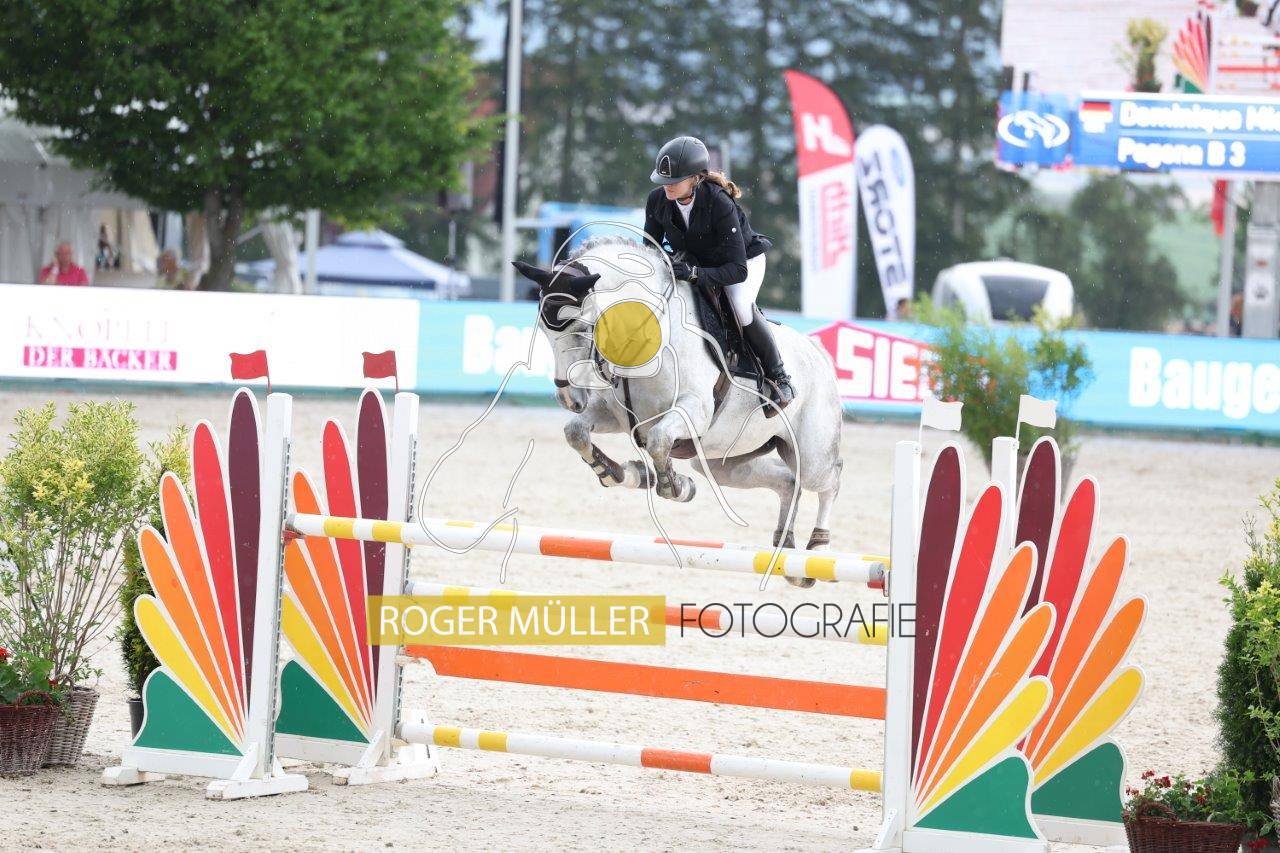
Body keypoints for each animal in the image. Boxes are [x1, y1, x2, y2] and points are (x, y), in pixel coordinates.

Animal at [514, 236, 844, 580]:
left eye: (581, 328)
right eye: (544, 329)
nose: (569, 399)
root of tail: (818, 353)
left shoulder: (693, 411)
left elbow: (659, 442)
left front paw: (676, 485)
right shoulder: (617, 416)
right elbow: (576, 431)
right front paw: (620, 472)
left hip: (810, 452)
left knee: (828, 479)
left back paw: (818, 547)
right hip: (723, 461)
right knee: (787, 481)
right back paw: (785, 548)